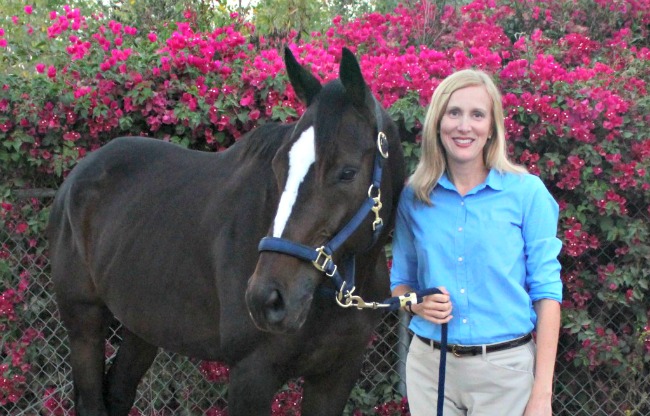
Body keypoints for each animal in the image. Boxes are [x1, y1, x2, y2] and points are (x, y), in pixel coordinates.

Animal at [48, 47, 404, 414]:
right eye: (279, 166)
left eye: (347, 172)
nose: (266, 299)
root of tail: (73, 179)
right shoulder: (252, 373)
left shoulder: (336, 375)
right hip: (84, 324)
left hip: (141, 329)